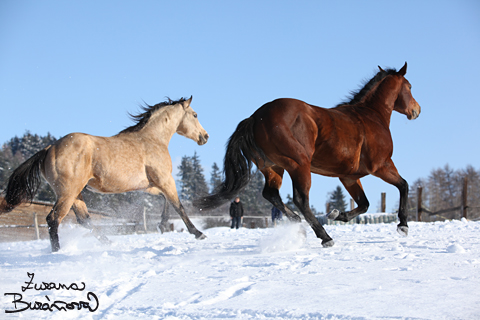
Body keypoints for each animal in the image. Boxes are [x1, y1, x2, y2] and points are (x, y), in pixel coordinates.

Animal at [0, 96, 209, 251]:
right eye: (195, 114)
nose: (205, 137)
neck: (152, 139)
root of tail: (49, 148)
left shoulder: (149, 185)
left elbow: (165, 201)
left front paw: (163, 225)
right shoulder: (165, 179)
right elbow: (178, 205)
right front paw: (198, 233)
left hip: (76, 193)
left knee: (84, 220)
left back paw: (109, 243)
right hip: (67, 193)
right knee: (53, 219)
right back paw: (57, 252)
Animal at [195, 63, 420, 248]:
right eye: (409, 86)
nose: (416, 110)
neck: (371, 116)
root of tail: (255, 118)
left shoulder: (348, 177)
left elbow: (364, 204)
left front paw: (337, 214)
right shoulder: (382, 165)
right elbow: (403, 185)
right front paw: (403, 225)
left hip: (273, 167)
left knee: (271, 194)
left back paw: (298, 224)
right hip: (299, 164)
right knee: (300, 199)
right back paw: (324, 237)